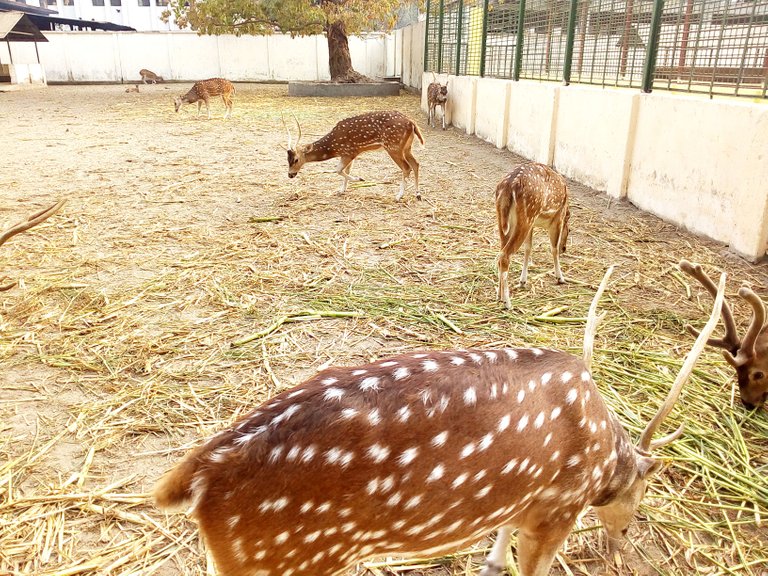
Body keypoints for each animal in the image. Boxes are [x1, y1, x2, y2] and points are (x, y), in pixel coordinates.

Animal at [154, 264, 728, 576]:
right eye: (639, 500)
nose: (619, 546)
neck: (604, 458)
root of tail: (197, 475)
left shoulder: (521, 502)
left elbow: (495, 558)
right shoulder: (556, 511)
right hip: (286, 557)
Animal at [284, 111, 424, 202]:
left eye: (296, 159)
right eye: (287, 159)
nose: (290, 175)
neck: (334, 147)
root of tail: (412, 123)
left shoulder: (349, 152)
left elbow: (338, 170)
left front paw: (360, 179)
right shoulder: (350, 154)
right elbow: (346, 170)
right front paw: (342, 190)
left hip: (393, 146)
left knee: (406, 167)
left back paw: (398, 196)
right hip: (406, 147)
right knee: (416, 164)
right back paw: (418, 194)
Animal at [498, 162, 568, 310]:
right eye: (568, 229)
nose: (564, 248)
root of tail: (509, 186)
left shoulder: (532, 226)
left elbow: (528, 248)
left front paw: (523, 281)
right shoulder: (558, 218)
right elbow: (553, 248)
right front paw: (560, 278)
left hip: (505, 221)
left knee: (501, 252)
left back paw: (499, 296)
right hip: (526, 217)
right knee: (505, 256)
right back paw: (508, 303)